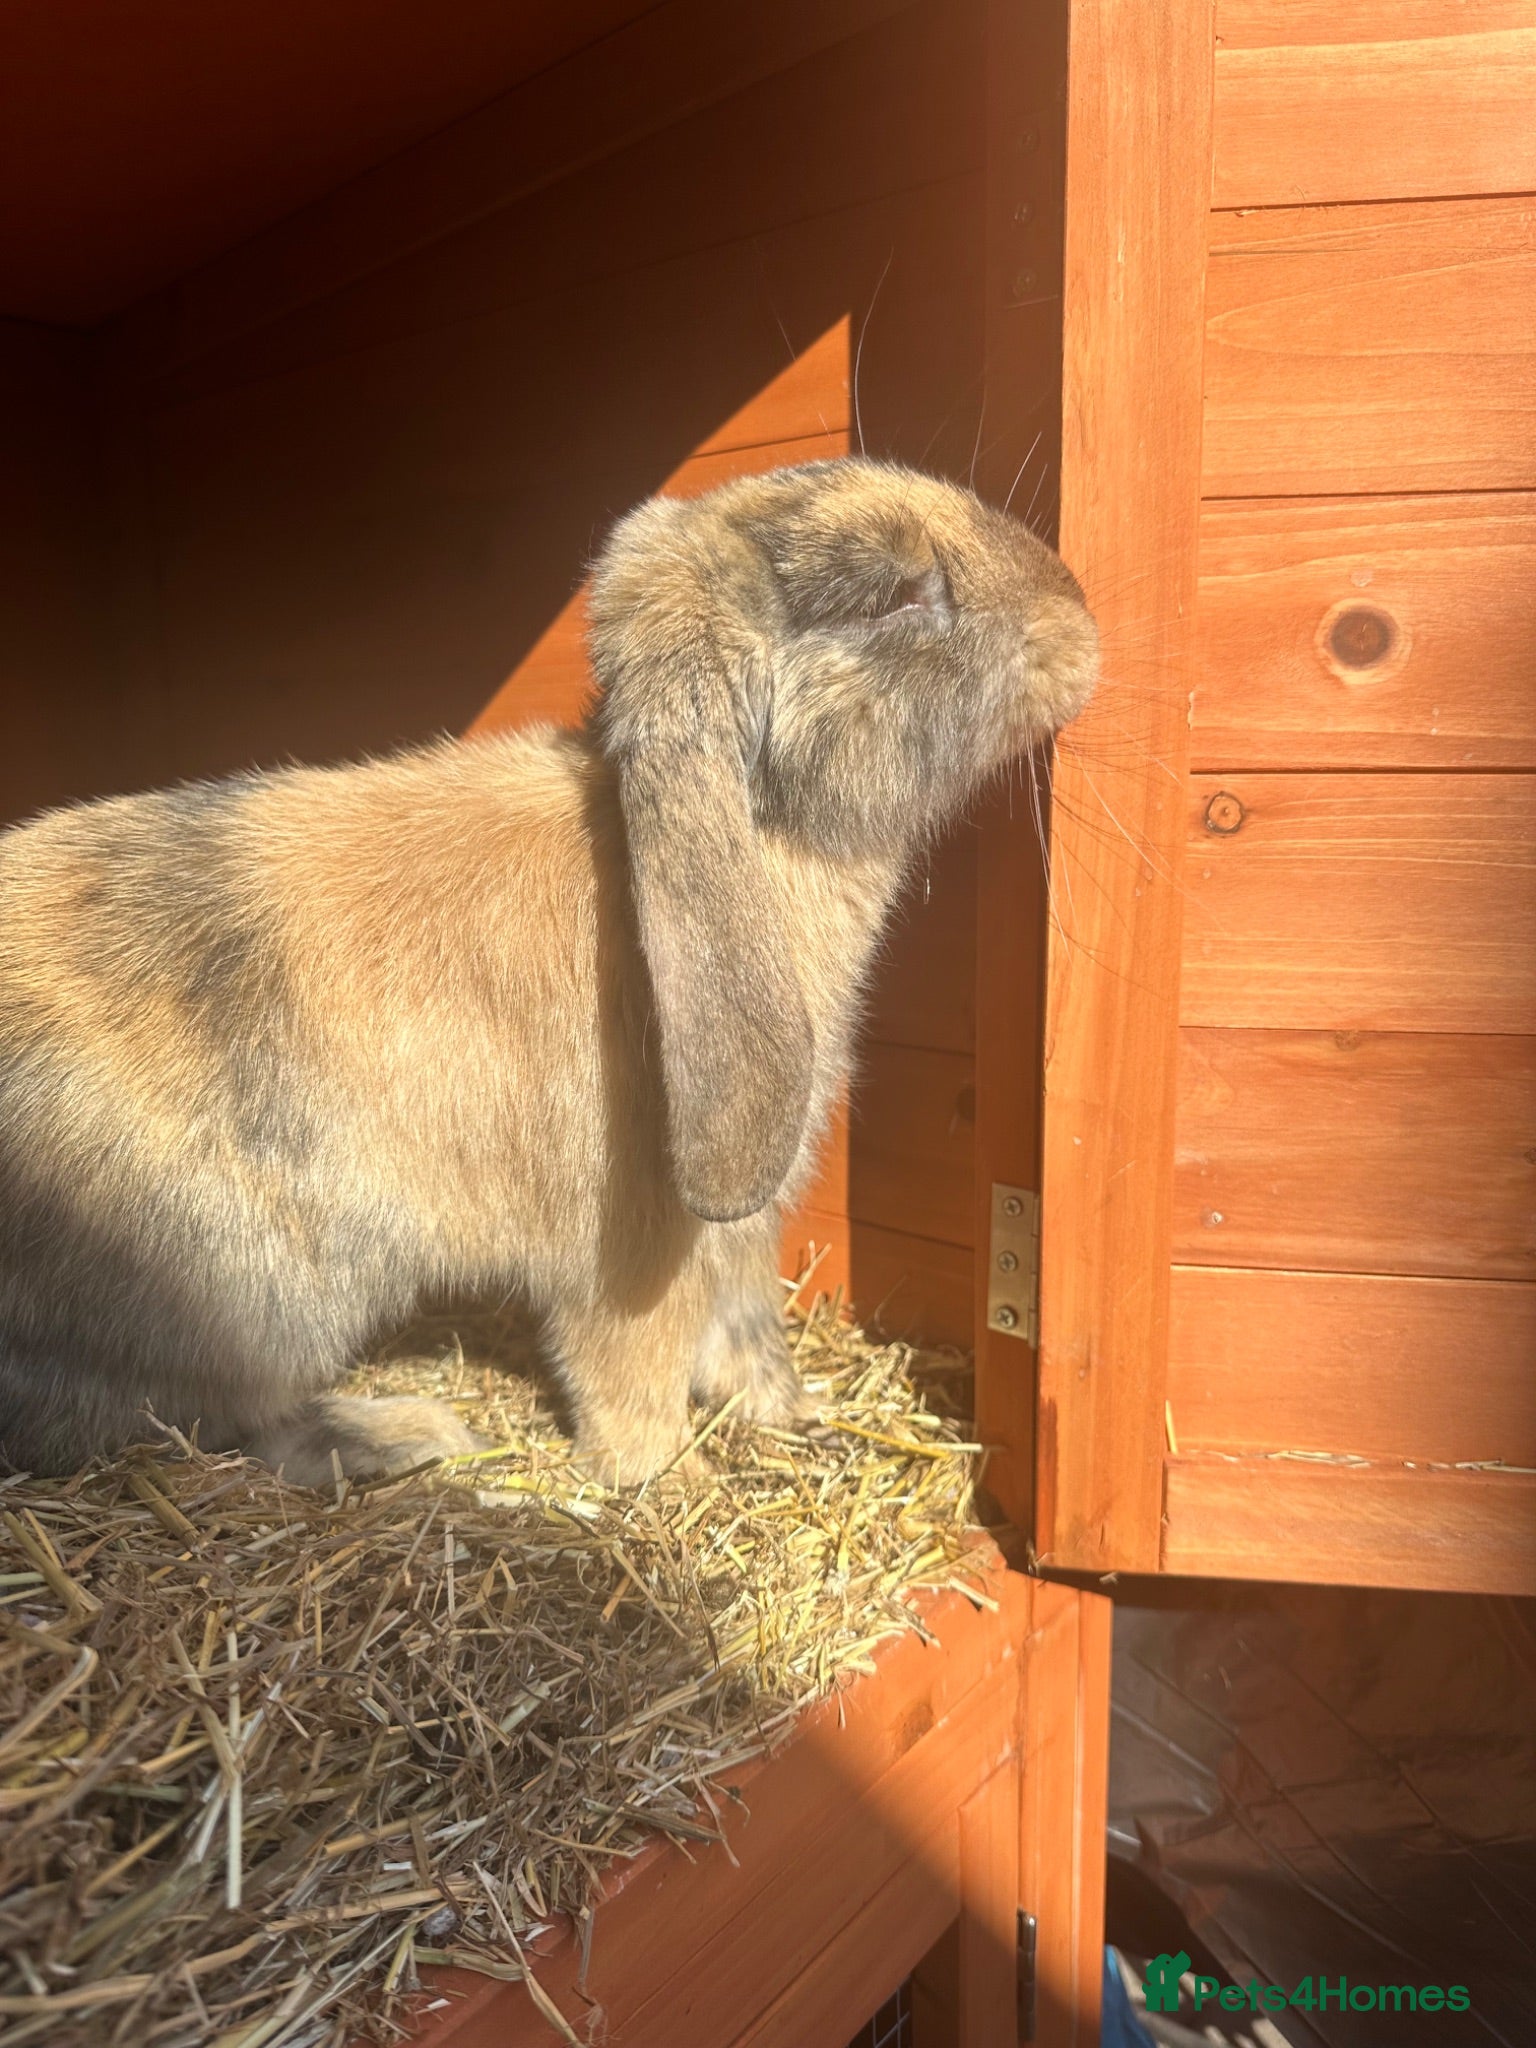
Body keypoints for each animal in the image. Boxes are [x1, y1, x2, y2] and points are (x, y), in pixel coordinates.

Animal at [0, 456, 1097, 1489]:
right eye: (890, 595)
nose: (1081, 627)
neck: (761, 835)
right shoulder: (635, 1244)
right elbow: (632, 1371)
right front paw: (663, 1484)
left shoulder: (746, 1228)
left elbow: (747, 1327)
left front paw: (786, 1418)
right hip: (251, 1293)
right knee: (193, 1422)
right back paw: (406, 1433)